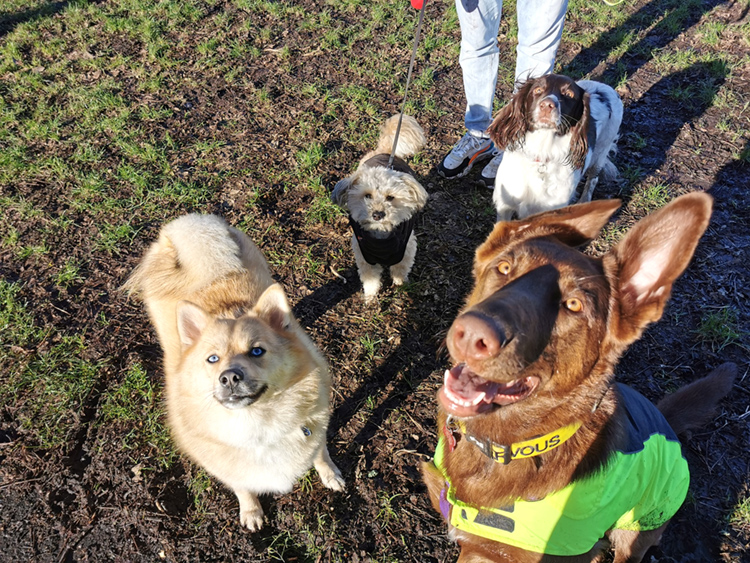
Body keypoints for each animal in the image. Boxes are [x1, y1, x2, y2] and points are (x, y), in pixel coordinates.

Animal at [125, 214, 346, 532]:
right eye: (212, 359)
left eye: (256, 351)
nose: (229, 377)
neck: (258, 422)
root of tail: (186, 227)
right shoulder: (226, 467)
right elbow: (242, 487)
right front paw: (251, 511)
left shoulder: (316, 428)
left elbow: (321, 454)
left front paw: (330, 474)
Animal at [334, 114, 432, 304]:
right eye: (367, 196)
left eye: (390, 197)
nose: (378, 214)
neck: (380, 238)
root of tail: (387, 151)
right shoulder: (365, 258)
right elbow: (370, 280)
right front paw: (370, 299)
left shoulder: (406, 251)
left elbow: (400, 272)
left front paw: (401, 288)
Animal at [426, 193, 736, 560]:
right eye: (503, 268)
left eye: (573, 305)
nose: (472, 335)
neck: (508, 446)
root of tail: (667, 423)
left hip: (638, 526)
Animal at [488, 72, 624, 218]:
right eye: (538, 90)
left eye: (569, 94)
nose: (547, 105)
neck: (541, 151)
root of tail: (606, 87)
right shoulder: (504, 206)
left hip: (601, 152)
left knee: (593, 179)